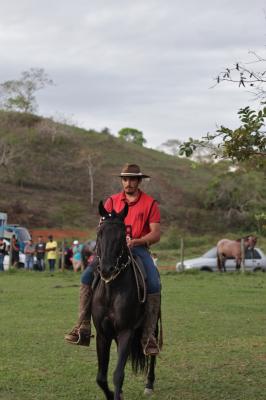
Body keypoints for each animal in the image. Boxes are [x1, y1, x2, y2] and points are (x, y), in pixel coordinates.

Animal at [91, 202, 158, 400]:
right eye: (100, 232)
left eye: (122, 235)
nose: (107, 269)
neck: (112, 292)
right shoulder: (103, 334)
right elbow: (101, 377)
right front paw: (114, 394)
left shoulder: (126, 332)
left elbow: (118, 374)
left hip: (152, 326)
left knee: (152, 352)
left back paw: (149, 384)